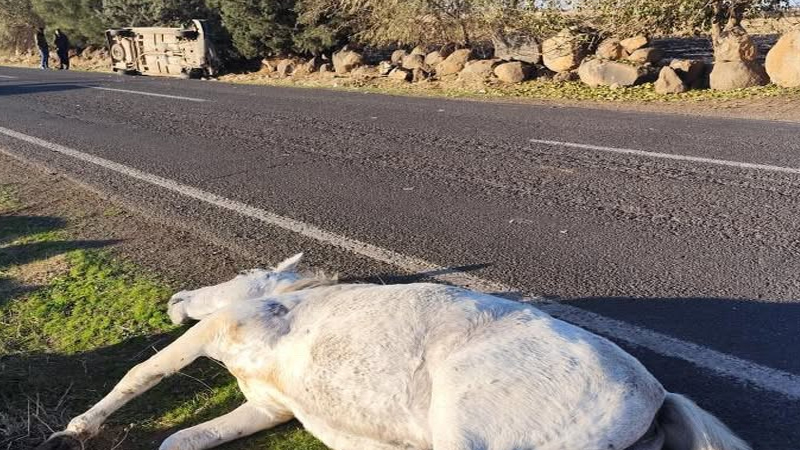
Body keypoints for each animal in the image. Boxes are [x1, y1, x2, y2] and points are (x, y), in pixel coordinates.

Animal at [37, 255, 752, 448]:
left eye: (244, 275)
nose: (176, 299)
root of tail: (655, 396)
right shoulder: (271, 410)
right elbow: (180, 440)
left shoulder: (216, 331)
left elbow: (143, 370)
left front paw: (74, 430)